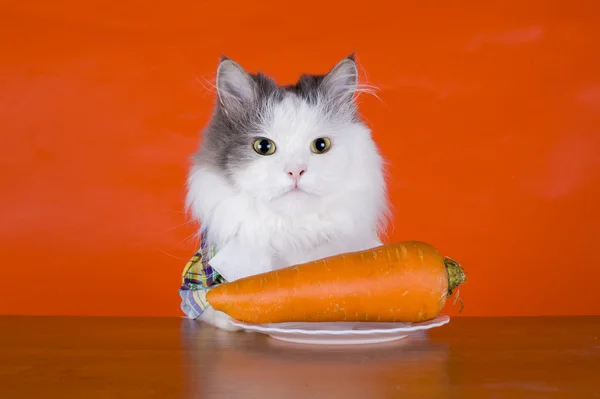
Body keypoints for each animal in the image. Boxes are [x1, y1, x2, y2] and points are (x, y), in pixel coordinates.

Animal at [185, 54, 390, 332]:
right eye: (263, 146)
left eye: (321, 145)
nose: (296, 171)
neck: (292, 230)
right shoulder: (197, 274)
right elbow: (207, 302)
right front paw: (232, 319)